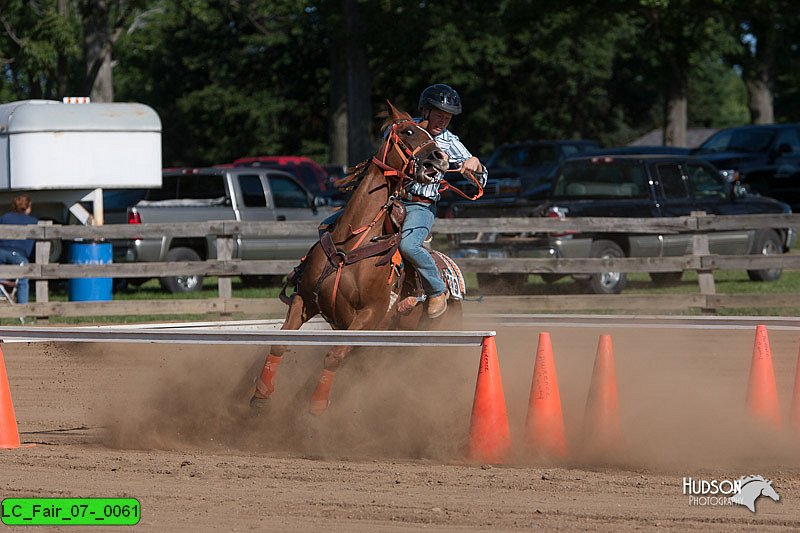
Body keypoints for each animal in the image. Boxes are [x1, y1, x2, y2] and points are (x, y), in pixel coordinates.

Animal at [248, 102, 462, 414]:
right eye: (409, 131)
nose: (442, 157)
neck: (350, 245)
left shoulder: (369, 316)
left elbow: (334, 356)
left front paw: (317, 405)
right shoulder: (305, 300)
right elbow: (280, 343)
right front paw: (261, 394)